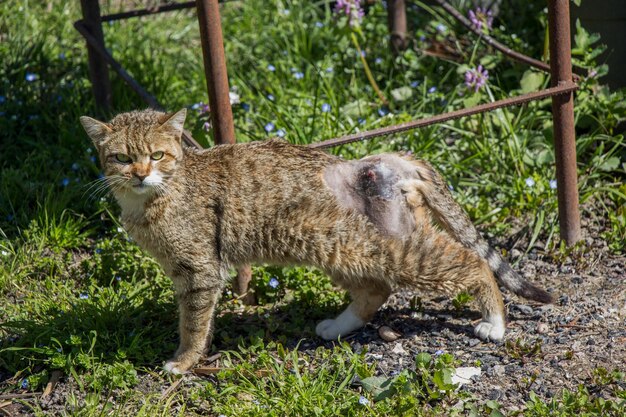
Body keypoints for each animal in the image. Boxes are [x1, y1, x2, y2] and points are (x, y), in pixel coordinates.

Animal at [79, 109, 552, 372]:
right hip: (343, 249)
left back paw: (495, 321)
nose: (140, 173)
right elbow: (201, 320)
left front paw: (184, 361)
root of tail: (390, 158)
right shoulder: (191, 273)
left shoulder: (198, 272)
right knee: (376, 290)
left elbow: (192, 325)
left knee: (473, 263)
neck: (158, 195)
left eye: (157, 155)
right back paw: (338, 326)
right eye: (121, 157)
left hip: (390, 249)